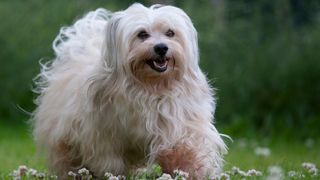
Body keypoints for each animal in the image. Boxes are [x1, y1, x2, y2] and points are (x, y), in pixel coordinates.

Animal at [32, 2, 228, 179]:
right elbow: (110, 161)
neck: (151, 86)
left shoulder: (178, 122)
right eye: (142, 34)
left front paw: (191, 170)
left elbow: (183, 149)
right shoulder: (103, 136)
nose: (161, 47)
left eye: (170, 33)